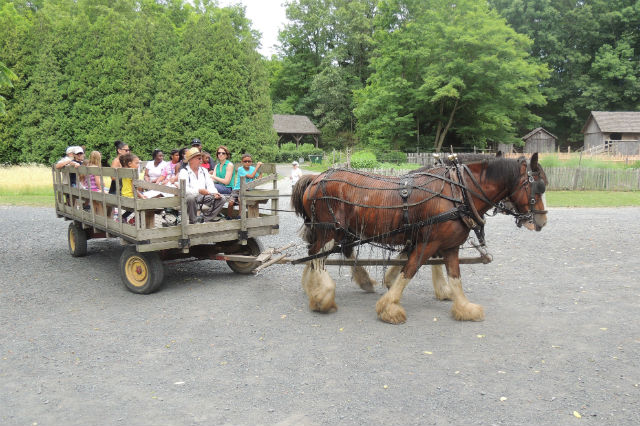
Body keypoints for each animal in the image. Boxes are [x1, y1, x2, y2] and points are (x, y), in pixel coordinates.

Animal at [292, 152, 548, 322]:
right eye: (539, 187)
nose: (542, 221)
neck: (458, 193)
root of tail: (316, 179)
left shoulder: (449, 245)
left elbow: (454, 276)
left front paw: (464, 307)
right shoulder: (428, 243)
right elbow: (410, 270)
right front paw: (389, 307)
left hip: (337, 232)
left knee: (320, 254)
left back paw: (319, 287)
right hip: (329, 229)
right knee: (317, 256)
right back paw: (322, 296)